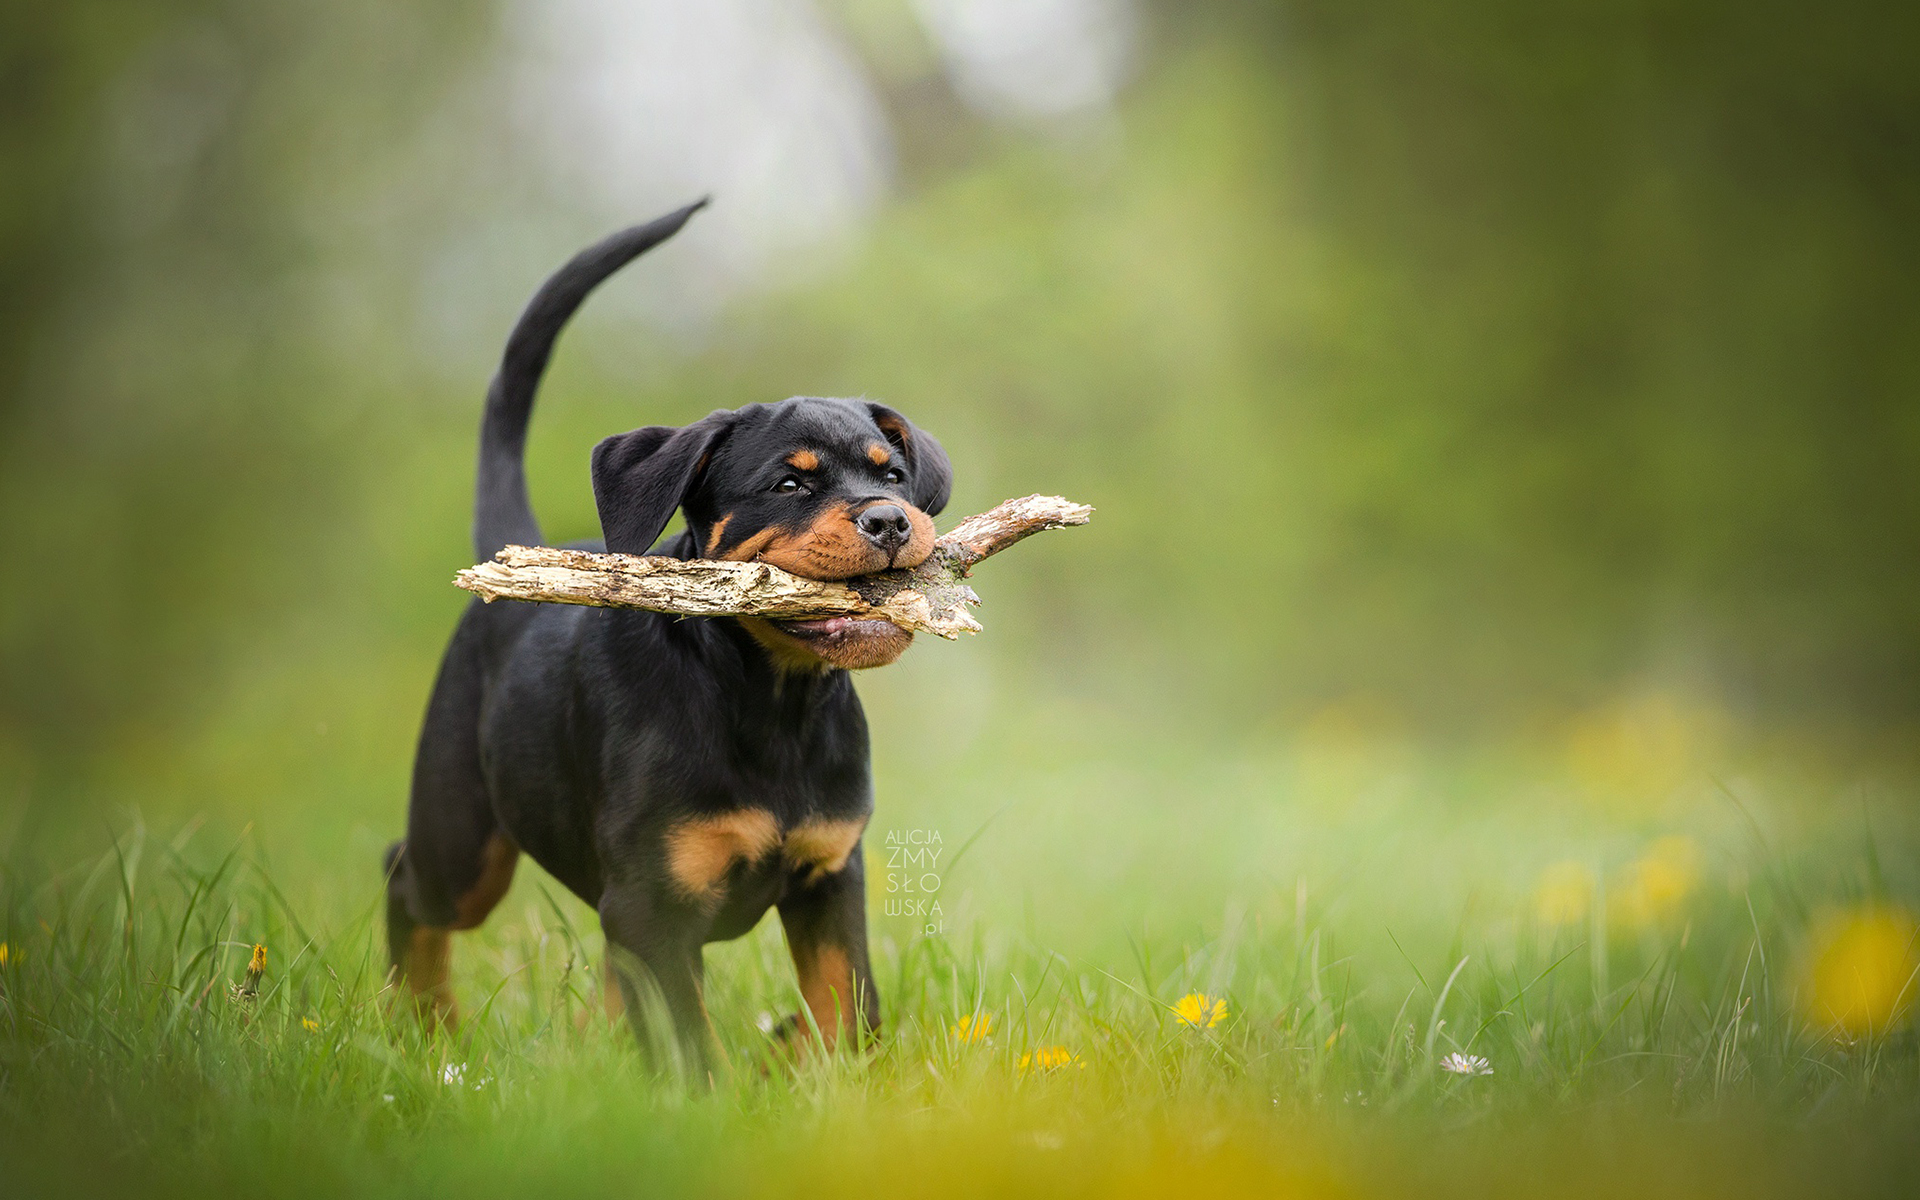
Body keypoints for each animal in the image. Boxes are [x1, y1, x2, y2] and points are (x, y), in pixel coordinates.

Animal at [387, 201, 952, 1075]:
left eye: (891, 474)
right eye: (789, 484)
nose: (891, 521)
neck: (774, 698)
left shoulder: (829, 874)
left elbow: (845, 1004)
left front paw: (828, 1077)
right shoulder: (653, 902)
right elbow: (691, 1044)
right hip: (462, 836)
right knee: (407, 884)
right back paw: (424, 1029)